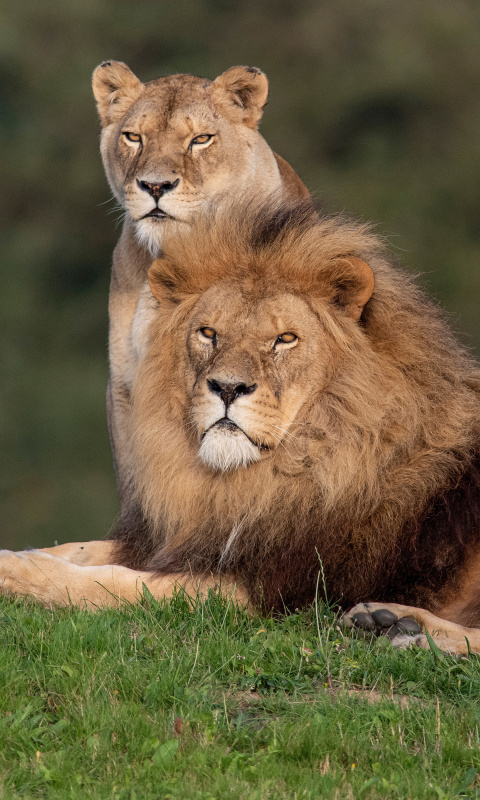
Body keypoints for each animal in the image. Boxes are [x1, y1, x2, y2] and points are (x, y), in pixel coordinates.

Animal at [5, 198, 480, 656]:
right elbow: (79, 549)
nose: (228, 387)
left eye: (285, 339)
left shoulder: (254, 588)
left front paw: (14, 571)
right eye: (208, 333)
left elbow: (115, 582)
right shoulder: (185, 540)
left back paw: (404, 629)